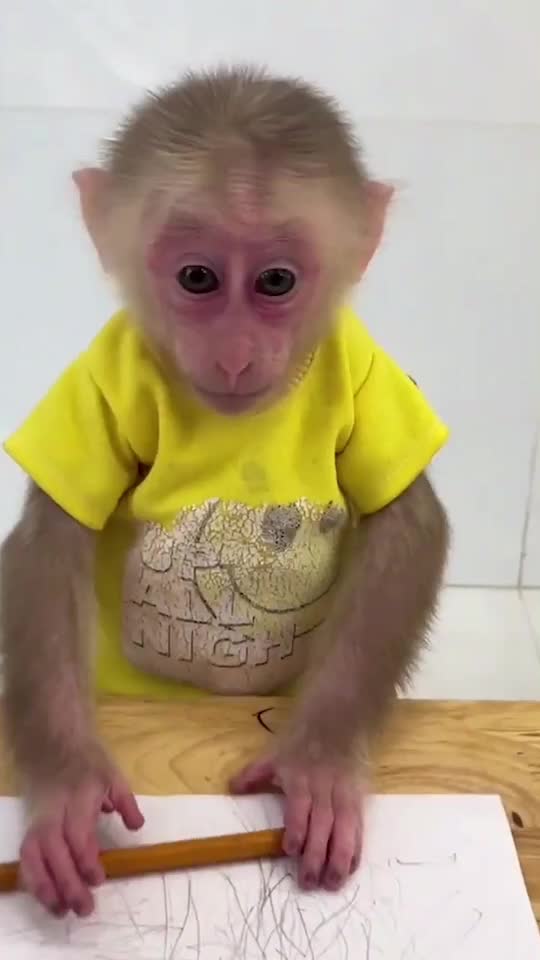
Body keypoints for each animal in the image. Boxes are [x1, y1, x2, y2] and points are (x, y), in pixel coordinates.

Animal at [0, 65, 450, 919]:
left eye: (276, 281)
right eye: (197, 278)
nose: (237, 354)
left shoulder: (364, 363)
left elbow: (407, 524)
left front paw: (318, 760)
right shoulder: (103, 375)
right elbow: (49, 543)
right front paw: (69, 786)